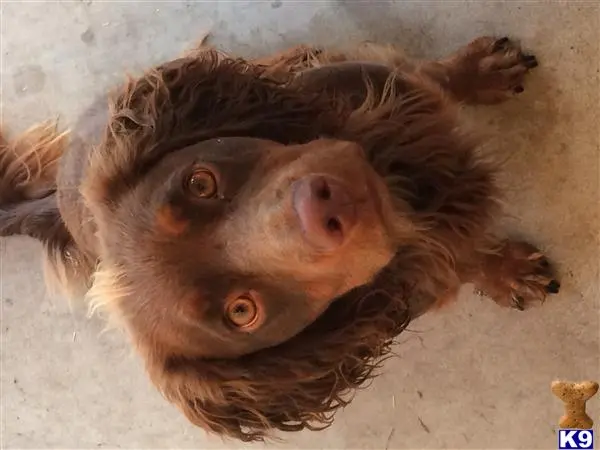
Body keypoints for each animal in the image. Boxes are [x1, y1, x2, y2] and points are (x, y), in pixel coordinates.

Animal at [2, 36, 560, 442]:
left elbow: (435, 76)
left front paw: (481, 72)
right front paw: (506, 272)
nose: (324, 207)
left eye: (199, 183)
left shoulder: (393, 79)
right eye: (242, 312)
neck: (405, 179)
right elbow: (465, 261)